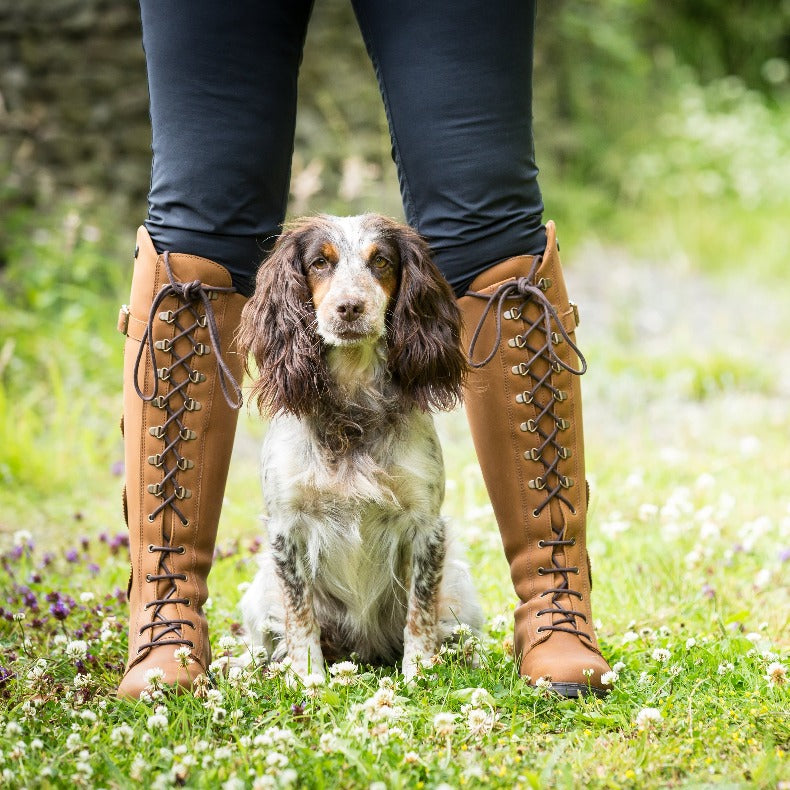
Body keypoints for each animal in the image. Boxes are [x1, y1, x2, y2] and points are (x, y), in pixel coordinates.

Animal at [237, 215, 482, 680]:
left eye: (381, 261)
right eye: (319, 262)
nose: (350, 307)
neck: (353, 409)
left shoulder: (426, 526)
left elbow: (420, 612)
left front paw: (419, 674)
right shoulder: (287, 528)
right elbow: (300, 615)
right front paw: (308, 678)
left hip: (461, 586)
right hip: (260, 594)